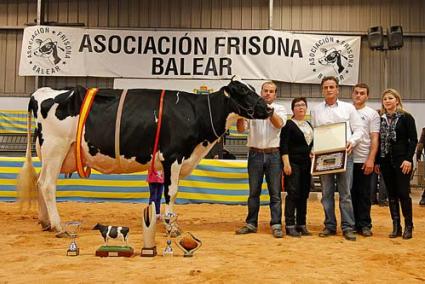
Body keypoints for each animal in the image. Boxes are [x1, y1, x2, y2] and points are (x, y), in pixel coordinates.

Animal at [16, 77, 272, 237]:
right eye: (243, 91)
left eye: (254, 88)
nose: (269, 108)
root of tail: (42, 92)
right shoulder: (173, 156)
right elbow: (172, 192)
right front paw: (172, 226)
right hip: (55, 148)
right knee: (47, 184)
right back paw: (59, 227)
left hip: (49, 152)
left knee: (39, 182)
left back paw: (46, 222)